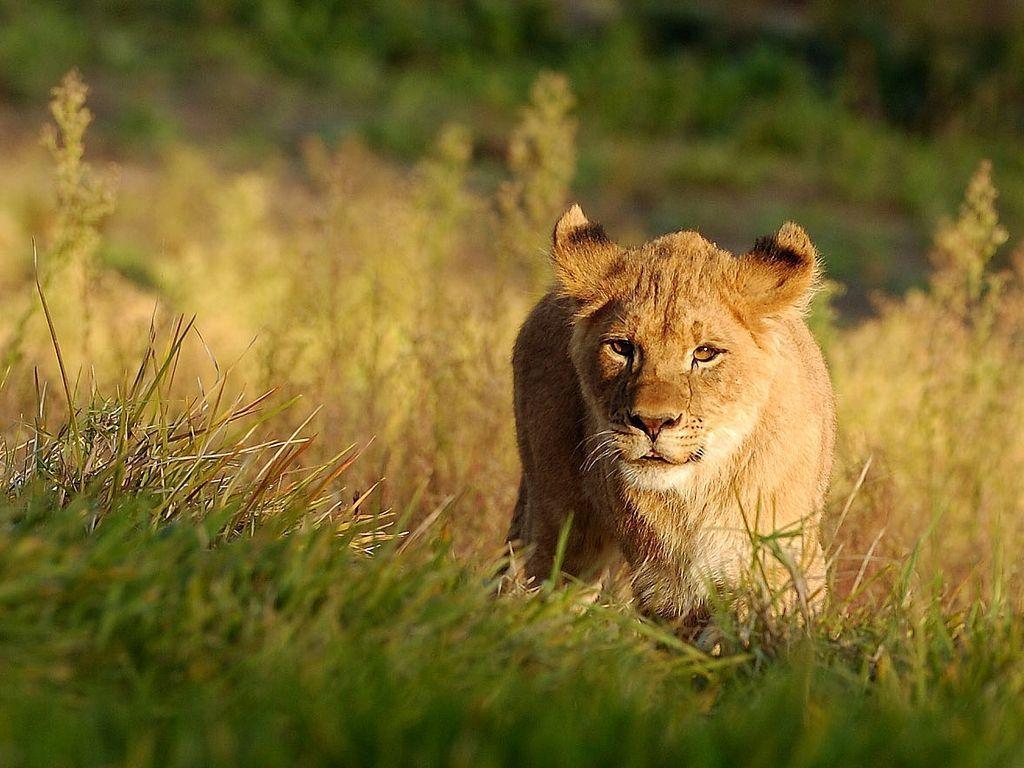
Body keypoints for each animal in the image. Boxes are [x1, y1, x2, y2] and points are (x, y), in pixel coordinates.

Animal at [507, 205, 835, 622]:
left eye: (705, 353)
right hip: (558, 524)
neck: (698, 493)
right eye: (621, 347)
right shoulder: (668, 587)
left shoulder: (785, 562)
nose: (651, 422)